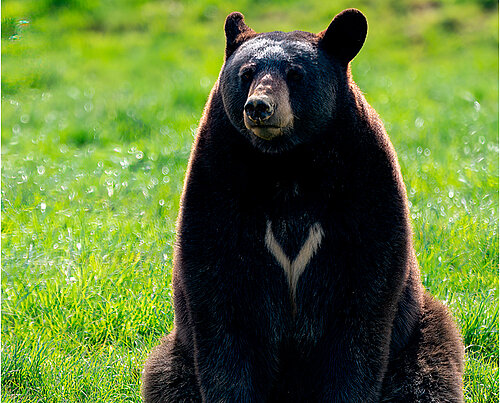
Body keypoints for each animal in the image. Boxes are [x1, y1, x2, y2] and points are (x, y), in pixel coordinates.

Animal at [142, 7, 464, 402]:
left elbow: (363, 302)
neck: (287, 165)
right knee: (167, 376)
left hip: (420, 331)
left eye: (295, 74)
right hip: (175, 352)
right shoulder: (218, 178)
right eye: (246, 73)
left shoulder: (364, 181)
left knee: (424, 376)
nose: (259, 107)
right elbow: (220, 299)